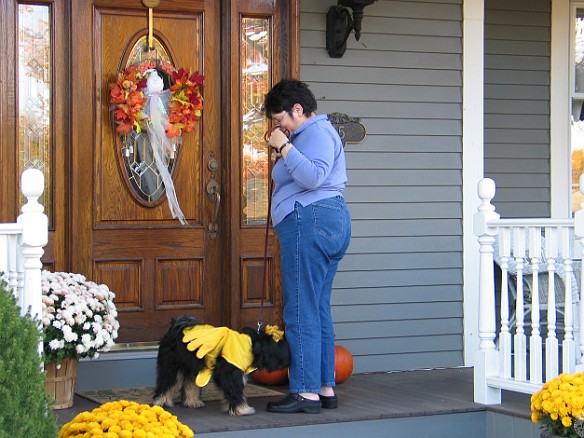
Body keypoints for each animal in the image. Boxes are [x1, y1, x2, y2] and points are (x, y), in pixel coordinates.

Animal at [151, 316, 288, 416]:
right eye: (279, 344)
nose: (289, 357)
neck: (251, 345)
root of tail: (177, 325)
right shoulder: (231, 374)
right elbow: (235, 391)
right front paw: (242, 409)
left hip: (192, 366)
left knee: (189, 384)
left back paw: (192, 401)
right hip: (171, 365)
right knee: (166, 382)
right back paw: (159, 401)